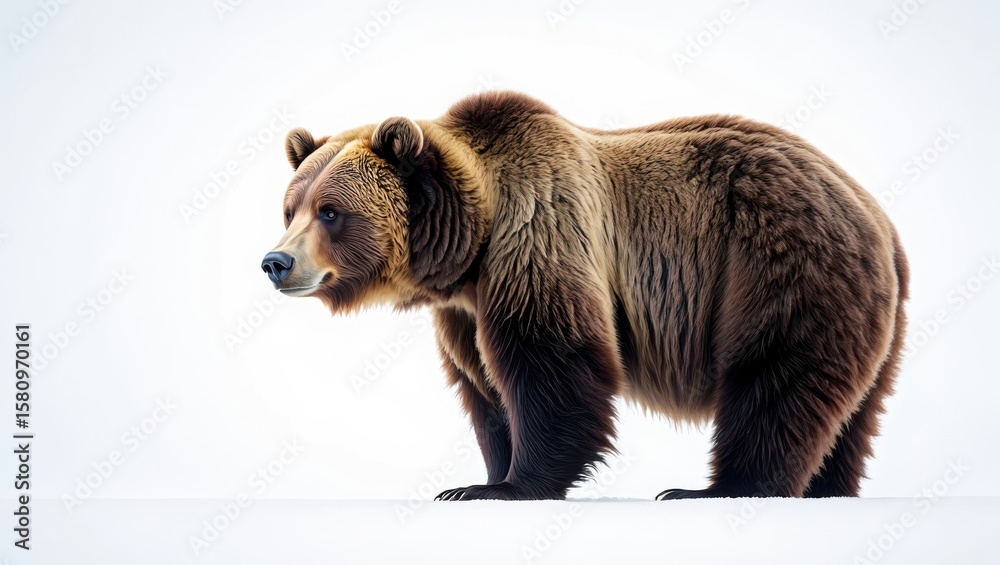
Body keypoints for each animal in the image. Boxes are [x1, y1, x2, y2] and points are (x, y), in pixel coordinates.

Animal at [261, 91, 908, 501]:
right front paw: (486, 473)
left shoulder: (539, 237)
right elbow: (484, 385)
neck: (468, 249)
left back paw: (714, 489)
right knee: (851, 409)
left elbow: (552, 363)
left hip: (778, 258)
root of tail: (879, 216)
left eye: (331, 211)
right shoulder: (463, 310)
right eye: (291, 208)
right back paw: (828, 487)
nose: (275, 262)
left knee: (774, 375)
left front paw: (500, 488)